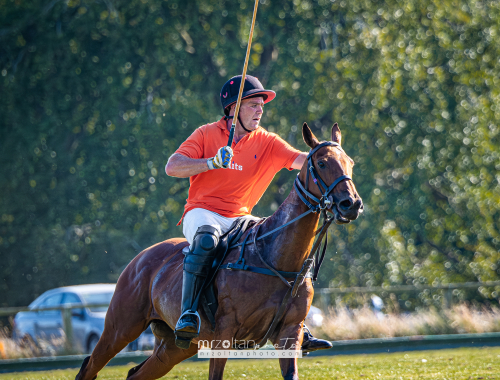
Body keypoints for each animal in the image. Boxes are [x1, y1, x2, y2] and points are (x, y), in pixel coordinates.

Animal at [75, 123, 364, 378]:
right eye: (322, 163)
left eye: (350, 162)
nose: (352, 204)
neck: (277, 259)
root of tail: (138, 259)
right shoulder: (224, 333)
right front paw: (219, 159)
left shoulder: (289, 333)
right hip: (121, 327)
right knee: (90, 366)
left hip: (175, 346)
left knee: (135, 373)